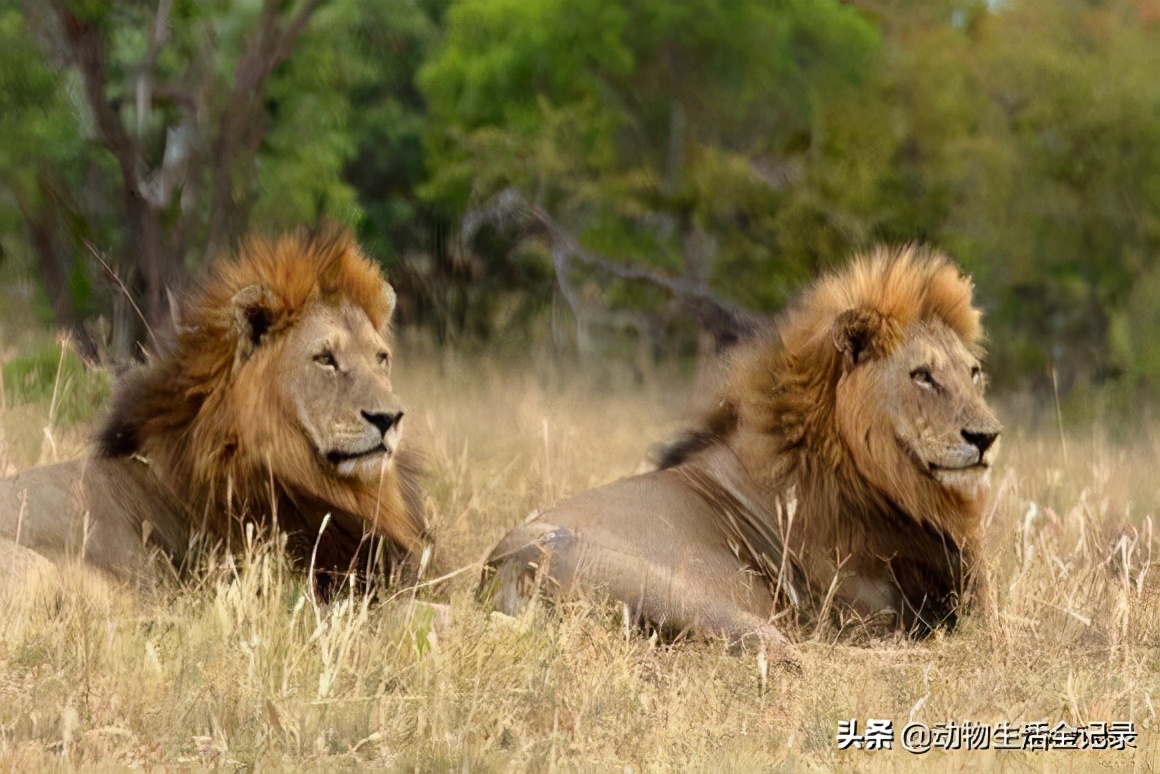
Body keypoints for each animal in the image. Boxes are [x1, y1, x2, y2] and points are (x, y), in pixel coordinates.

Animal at [484, 247, 1002, 640]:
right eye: (922, 375)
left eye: (974, 373)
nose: (986, 437)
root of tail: (506, 568)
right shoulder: (867, 613)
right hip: (723, 613)